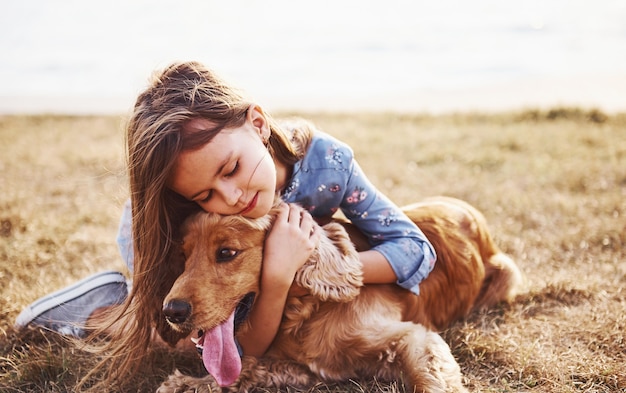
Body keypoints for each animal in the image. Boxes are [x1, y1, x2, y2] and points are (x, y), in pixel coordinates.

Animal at [157, 196, 520, 392]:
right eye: (184, 257)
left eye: (227, 253)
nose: (172, 311)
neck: (307, 309)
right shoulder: (304, 367)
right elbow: (248, 367)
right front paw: (188, 383)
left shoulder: (413, 337)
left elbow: (428, 378)